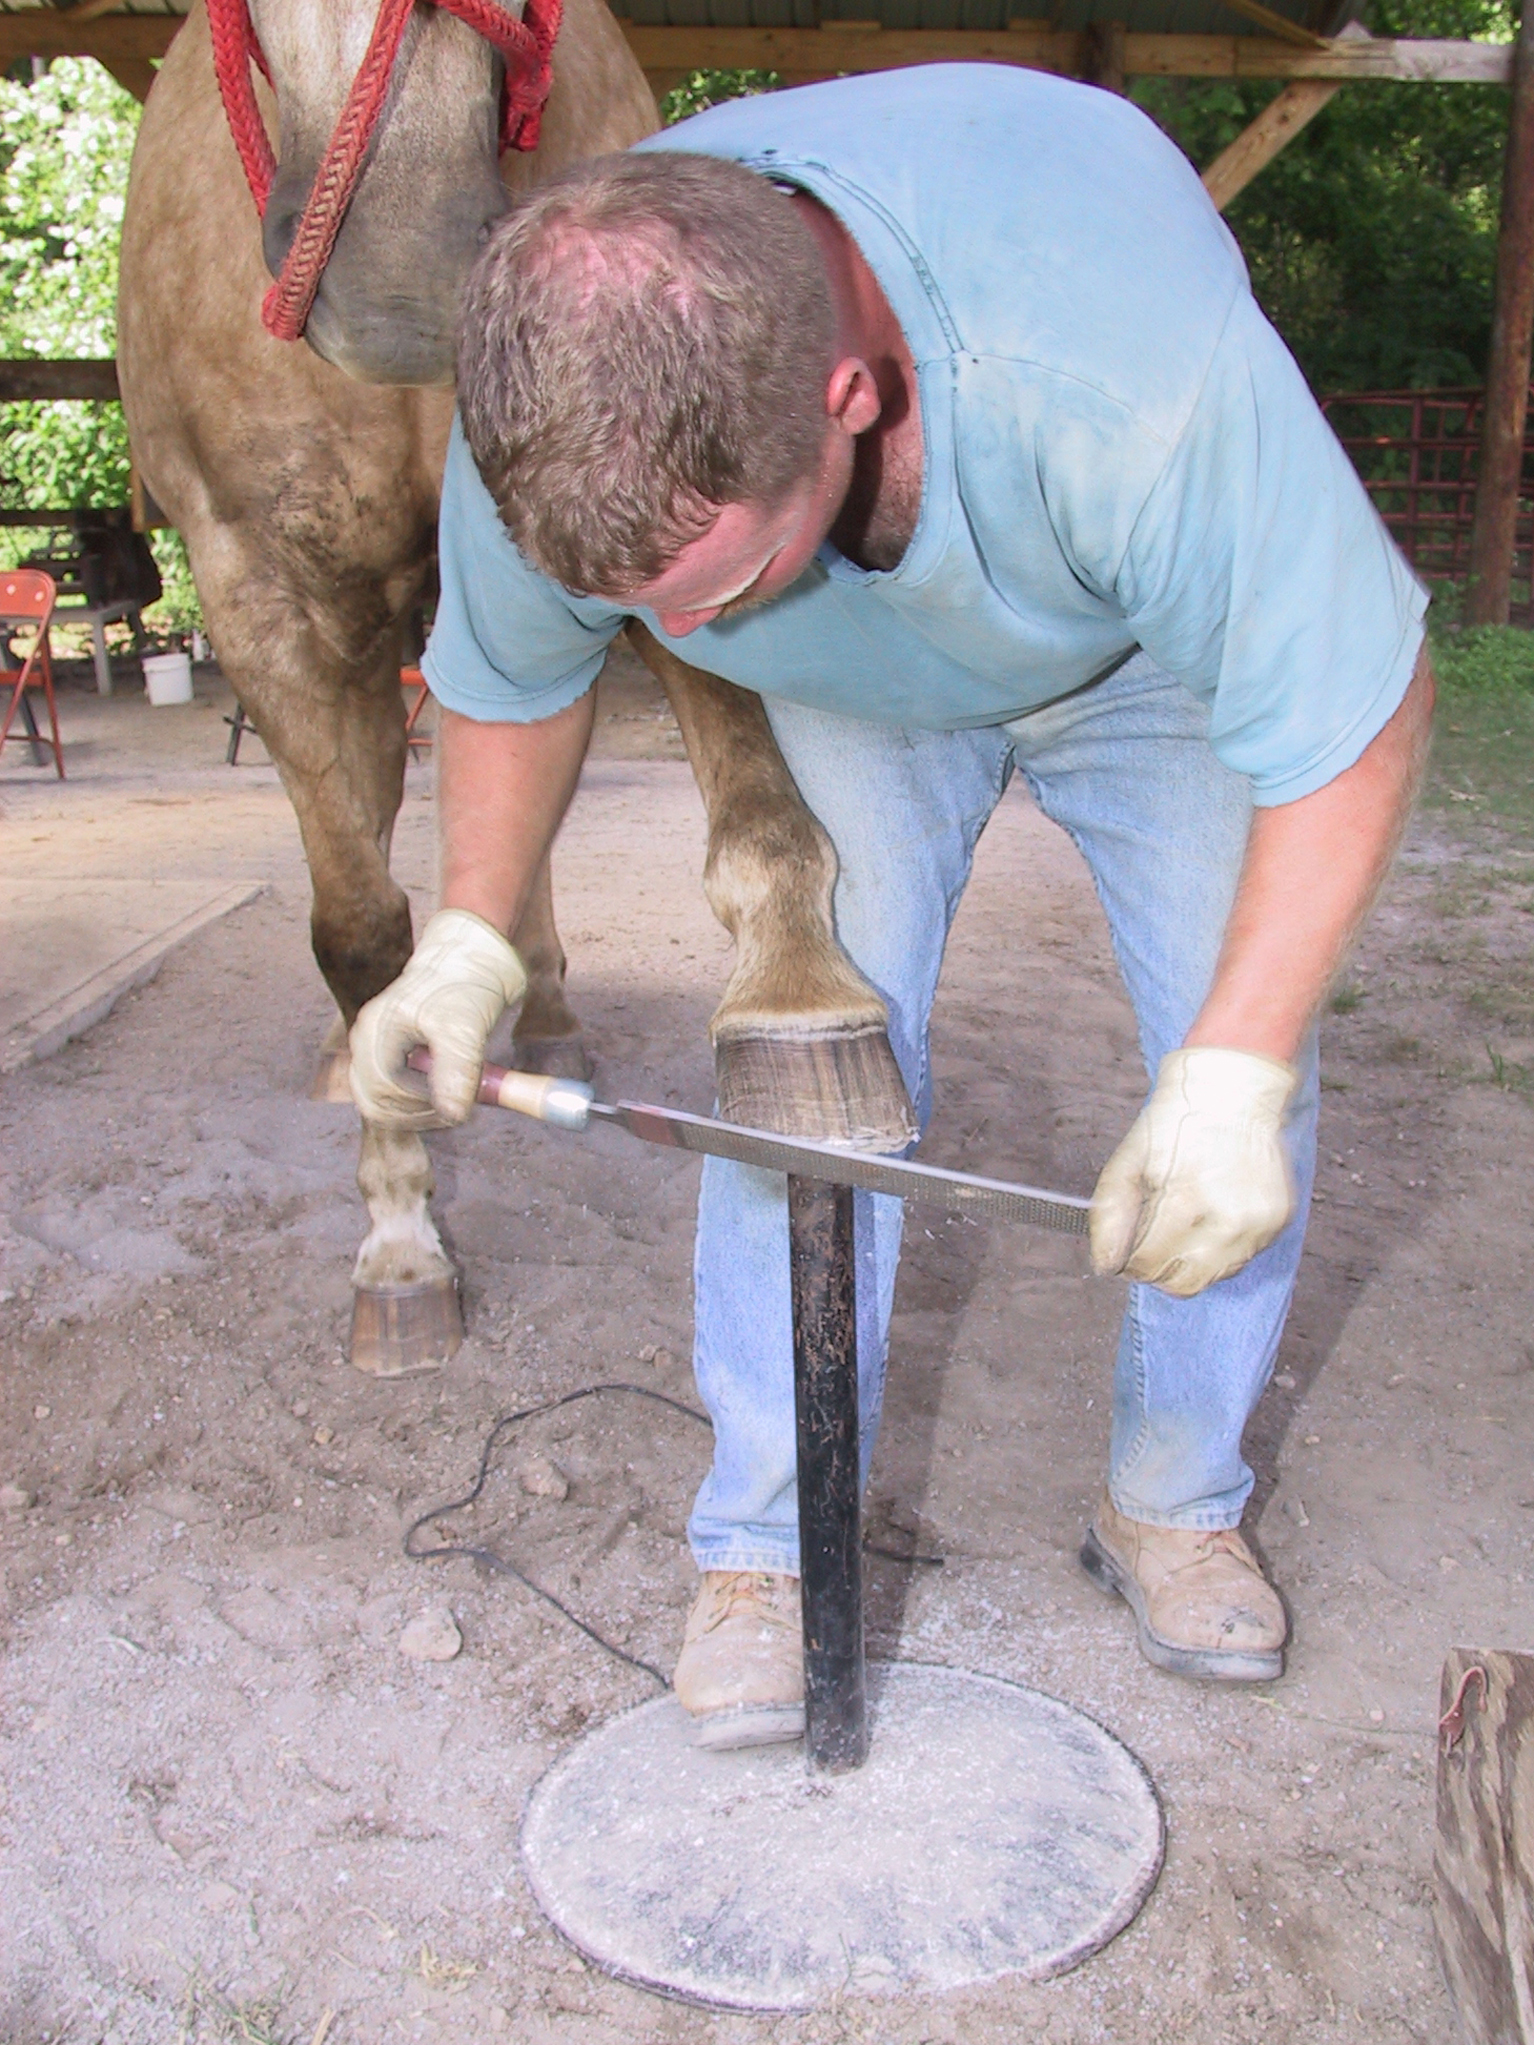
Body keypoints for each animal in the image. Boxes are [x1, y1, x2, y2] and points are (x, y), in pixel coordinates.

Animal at [123, 0, 912, 1382]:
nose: (401, 274)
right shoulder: (256, 582)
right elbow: (359, 926)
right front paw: (398, 1240)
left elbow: (758, 819)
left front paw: (798, 998)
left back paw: (536, 1007)